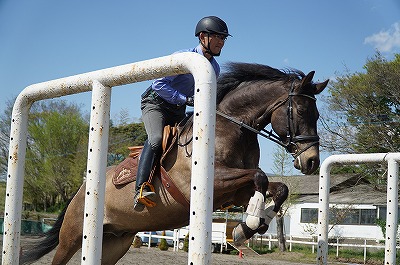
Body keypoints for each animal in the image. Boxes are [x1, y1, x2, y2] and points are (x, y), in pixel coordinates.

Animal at [20, 63, 328, 262]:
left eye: (317, 113)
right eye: (302, 111)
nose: (312, 161)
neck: (233, 127)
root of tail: (80, 188)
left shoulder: (233, 192)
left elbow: (277, 188)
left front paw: (249, 227)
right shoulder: (215, 180)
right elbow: (260, 176)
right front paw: (249, 223)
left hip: (115, 241)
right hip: (73, 236)